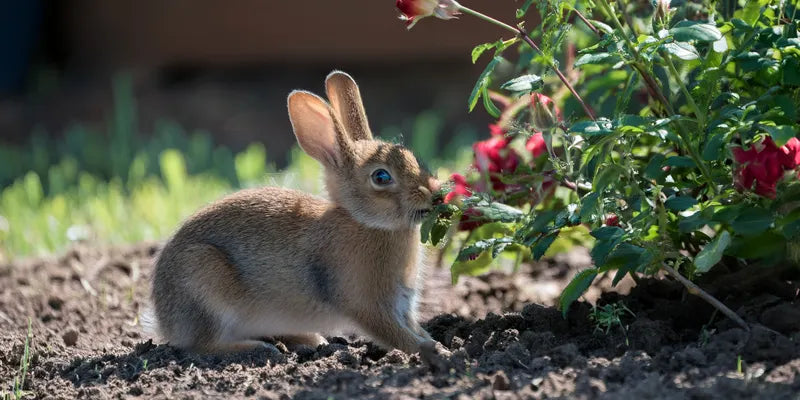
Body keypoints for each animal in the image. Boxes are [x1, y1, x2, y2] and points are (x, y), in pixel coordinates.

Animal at [150, 71, 443, 358]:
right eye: (381, 177)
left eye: (413, 158)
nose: (436, 193)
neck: (367, 223)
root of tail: (163, 319)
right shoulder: (368, 305)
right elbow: (395, 334)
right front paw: (432, 350)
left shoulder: (402, 305)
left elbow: (413, 327)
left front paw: (434, 343)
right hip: (203, 280)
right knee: (202, 345)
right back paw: (257, 348)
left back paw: (311, 339)